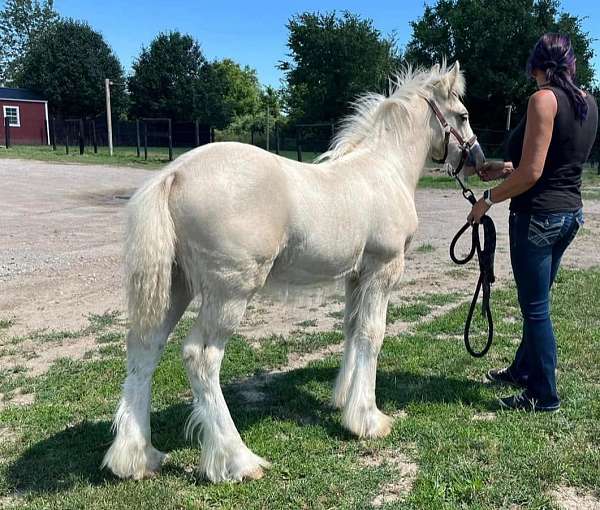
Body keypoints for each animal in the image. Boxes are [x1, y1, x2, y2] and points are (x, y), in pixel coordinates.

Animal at [102, 62, 482, 482]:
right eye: (463, 116)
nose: (479, 159)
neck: (385, 170)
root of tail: (175, 174)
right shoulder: (384, 270)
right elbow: (372, 334)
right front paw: (368, 420)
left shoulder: (356, 275)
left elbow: (351, 329)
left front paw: (342, 400)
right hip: (229, 293)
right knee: (200, 357)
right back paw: (238, 459)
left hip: (176, 286)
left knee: (144, 348)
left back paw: (137, 457)